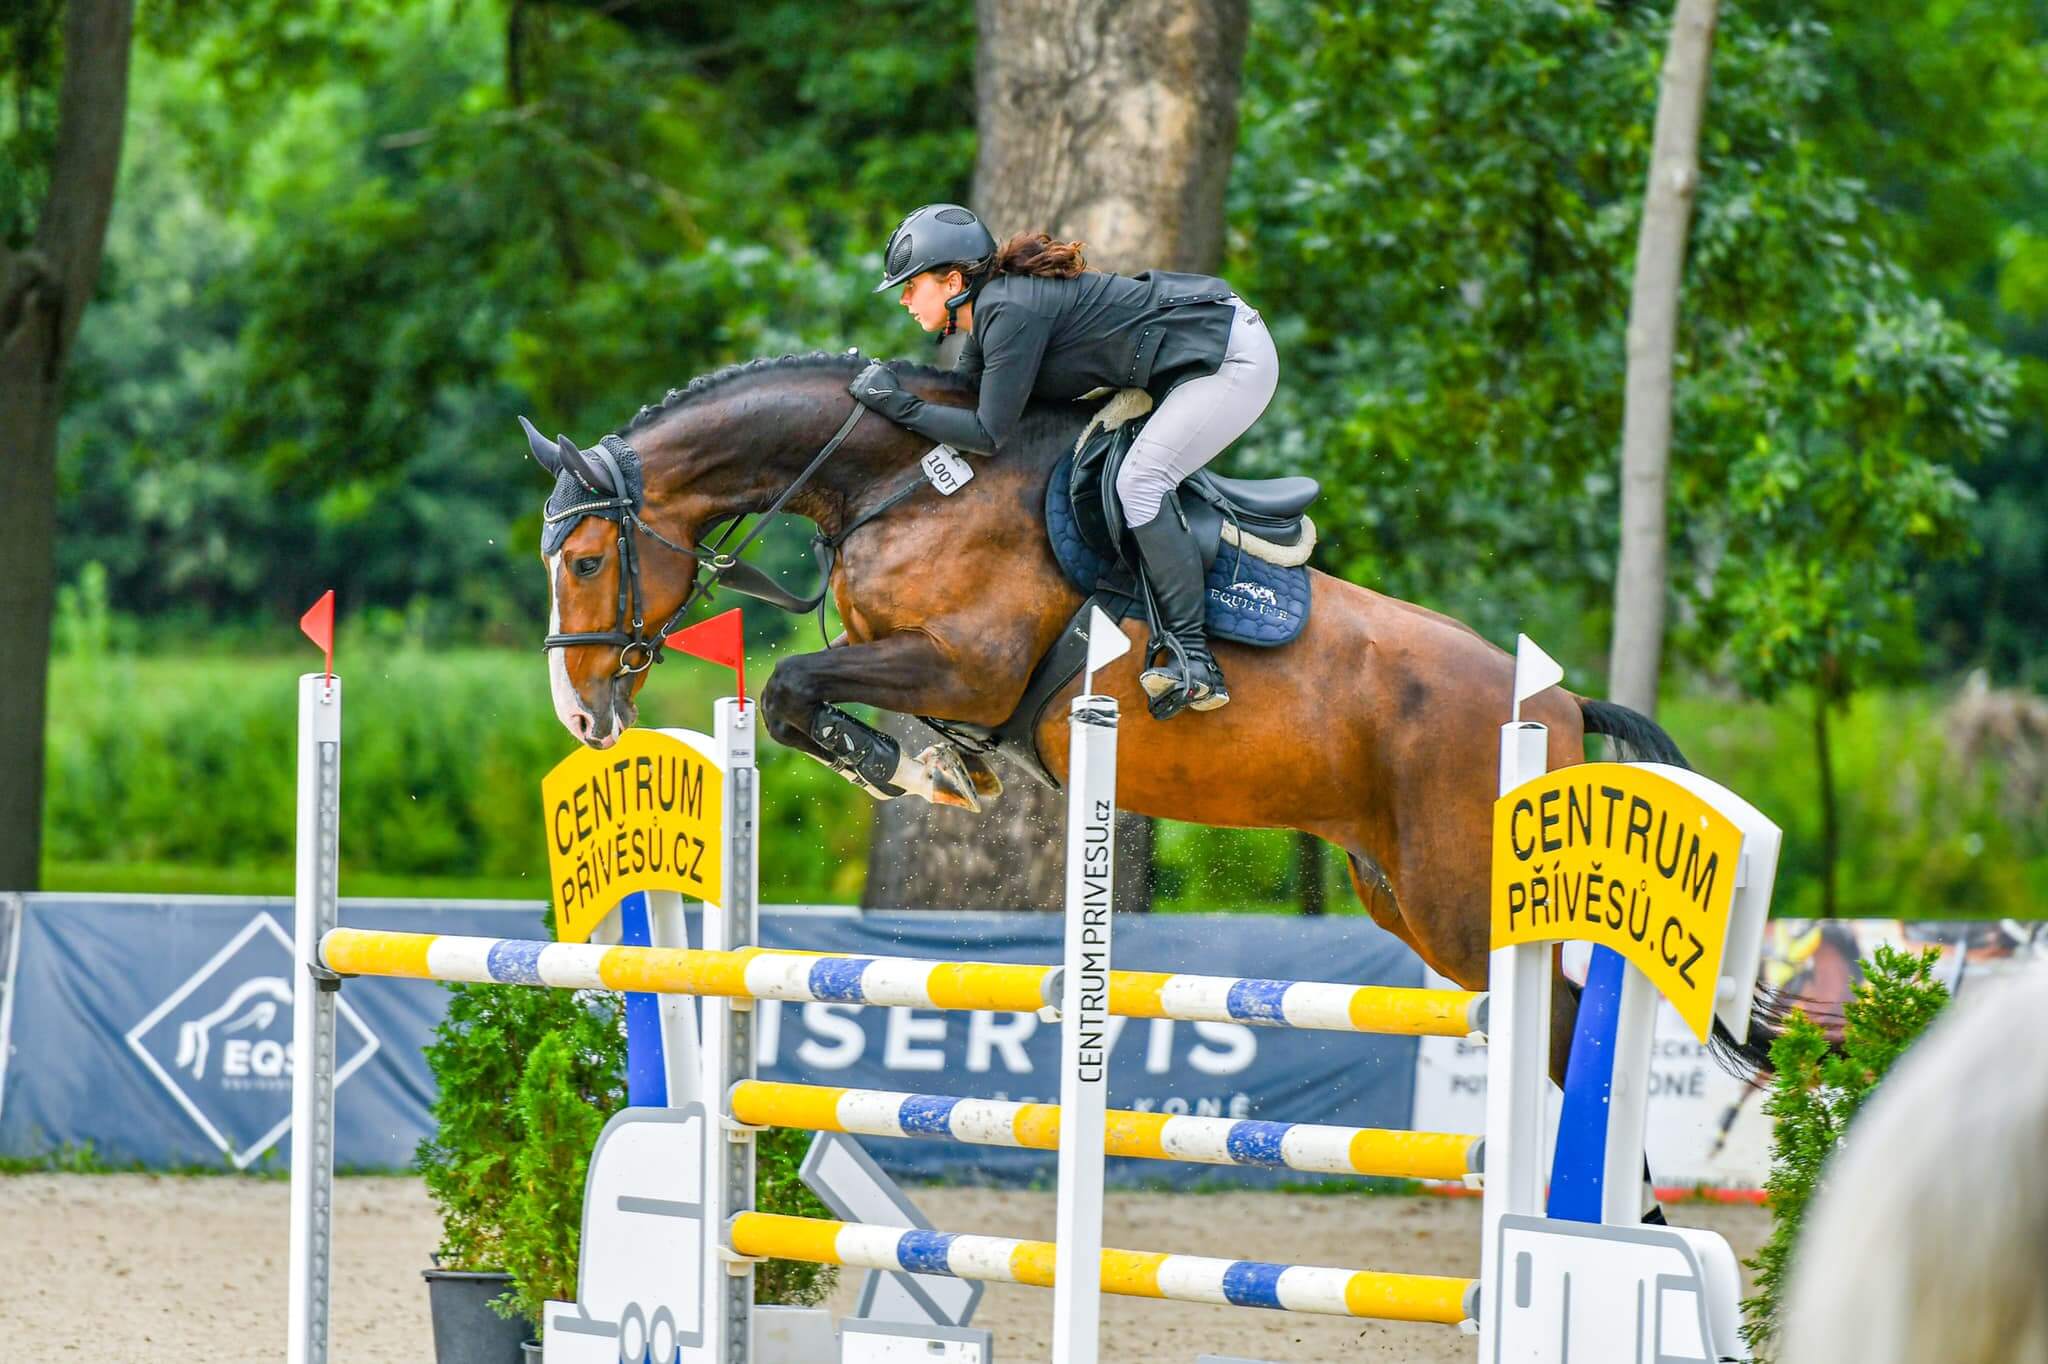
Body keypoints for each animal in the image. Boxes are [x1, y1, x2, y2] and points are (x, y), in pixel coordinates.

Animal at [528, 350, 1777, 1097]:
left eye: (583, 559)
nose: (583, 716)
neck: (904, 476)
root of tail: (1557, 701)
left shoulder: (965, 664)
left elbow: (794, 683)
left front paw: (899, 768)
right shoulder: (938, 673)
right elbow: (815, 695)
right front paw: (938, 771)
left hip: (1464, 900)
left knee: (1561, 1025)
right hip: (1401, 889)